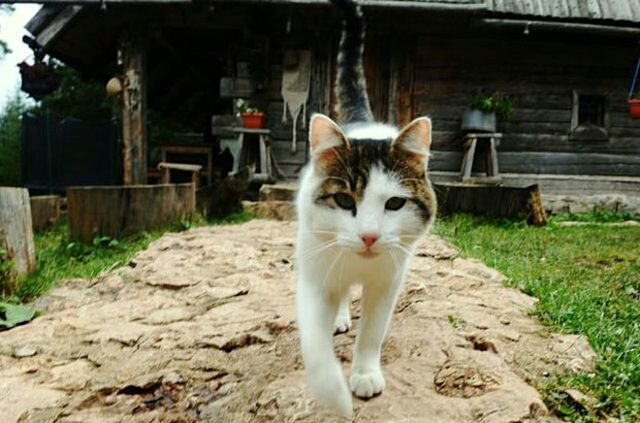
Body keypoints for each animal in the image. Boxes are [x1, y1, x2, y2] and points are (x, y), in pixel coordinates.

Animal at [294, 0, 436, 418]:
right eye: (344, 200)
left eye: (394, 203)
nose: (370, 236)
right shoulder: (314, 277)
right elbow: (315, 346)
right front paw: (334, 395)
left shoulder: (388, 282)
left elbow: (372, 332)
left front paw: (365, 373)